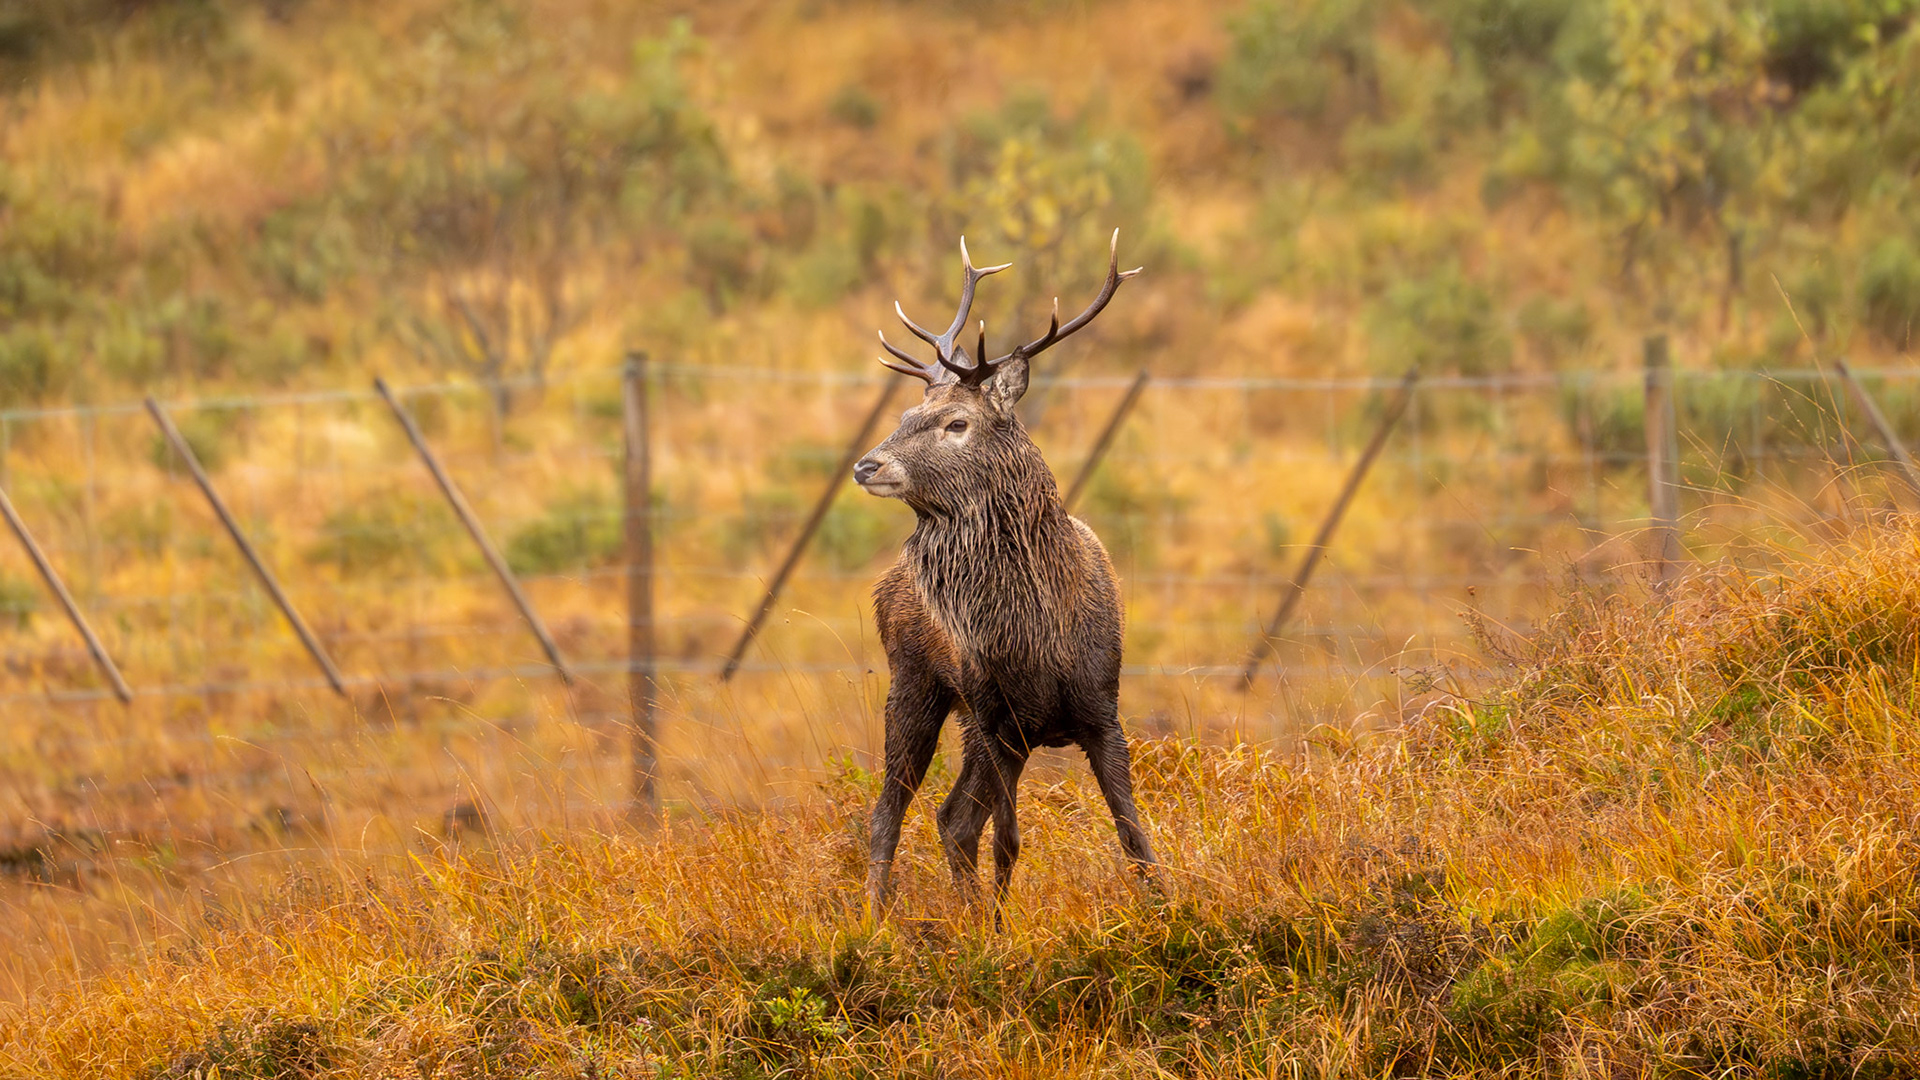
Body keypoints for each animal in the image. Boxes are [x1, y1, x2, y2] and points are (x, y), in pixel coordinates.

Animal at [853, 229, 1158, 915]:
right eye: (905, 417)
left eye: (955, 423)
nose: (866, 465)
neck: (1040, 634)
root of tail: (886, 581)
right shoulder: (999, 720)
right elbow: (1009, 842)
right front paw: (999, 931)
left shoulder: (1102, 711)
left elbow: (1135, 835)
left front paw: (1172, 910)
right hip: (920, 685)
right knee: (892, 813)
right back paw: (875, 919)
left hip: (975, 724)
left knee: (949, 818)